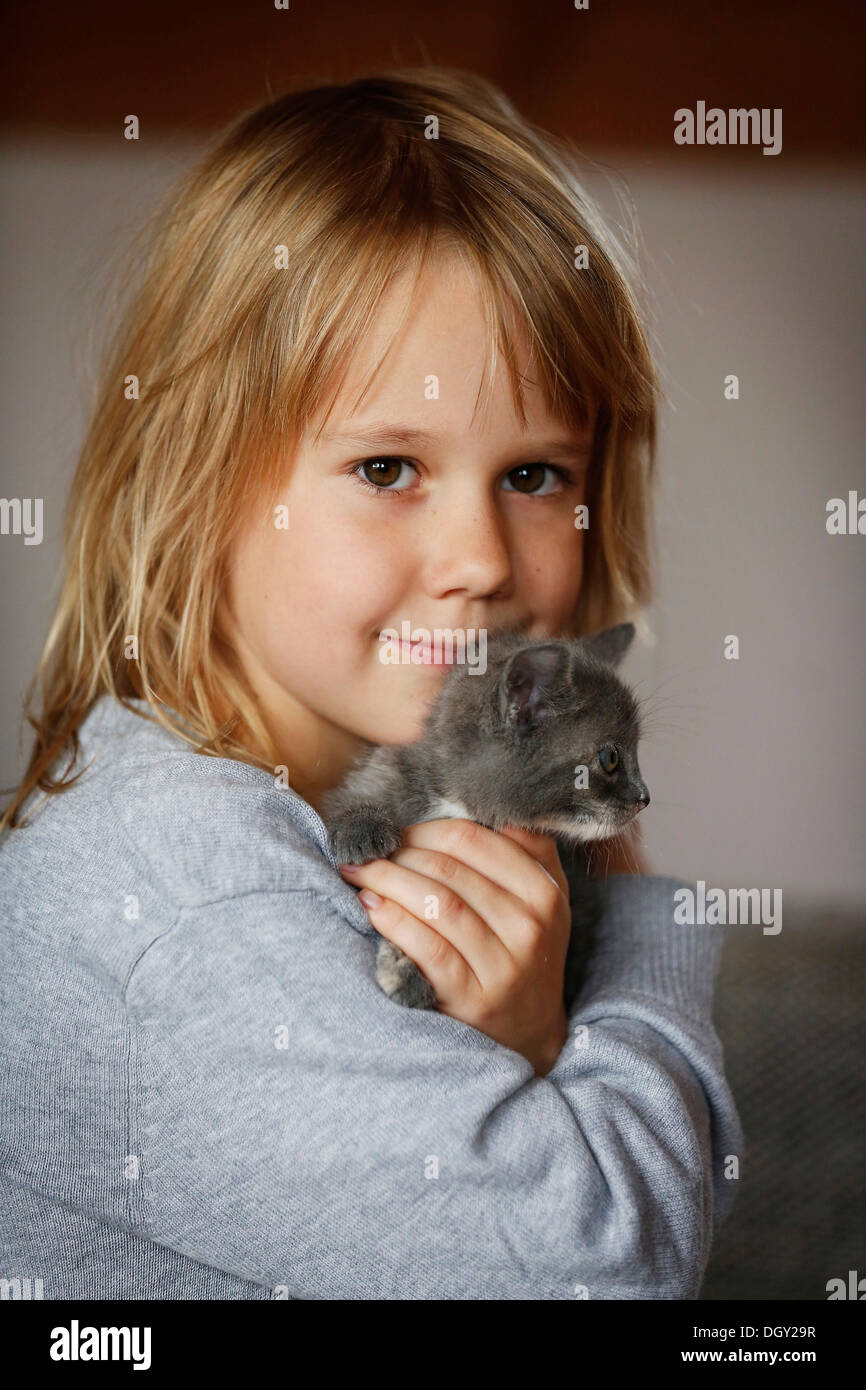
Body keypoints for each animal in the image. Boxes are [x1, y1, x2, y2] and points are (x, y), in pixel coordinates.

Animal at [325, 628, 650, 1011]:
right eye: (610, 757)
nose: (644, 798)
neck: (458, 804)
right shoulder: (385, 772)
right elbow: (353, 797)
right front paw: (360, 825)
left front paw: (407, 973)